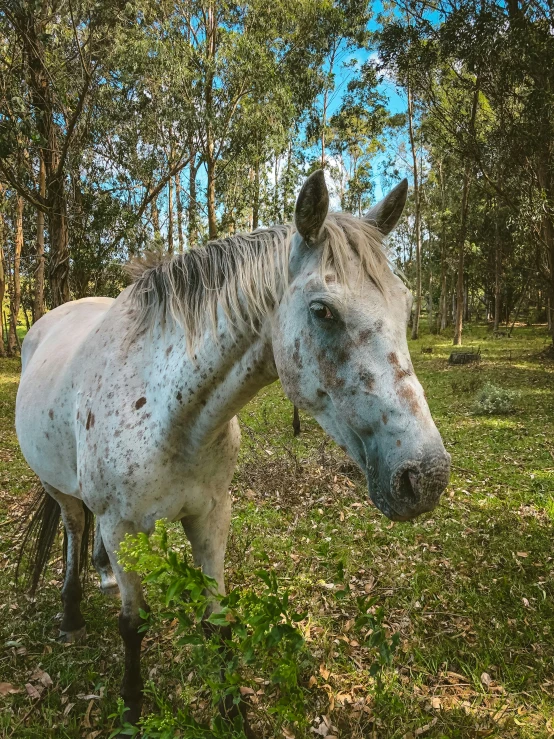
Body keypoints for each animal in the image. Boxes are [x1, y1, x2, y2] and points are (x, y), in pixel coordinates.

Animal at [15, 172, 448, 728]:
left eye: (406, 304)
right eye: (322, 311)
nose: (426, 475)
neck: (167, 413)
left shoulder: (211, 514)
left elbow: (218, 618)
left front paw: (231, 707)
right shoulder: (121, 526)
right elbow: (133, 625)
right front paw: (132, 708)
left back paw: (104, 574)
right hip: (60, 490)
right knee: (72, 527)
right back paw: (70, 614)